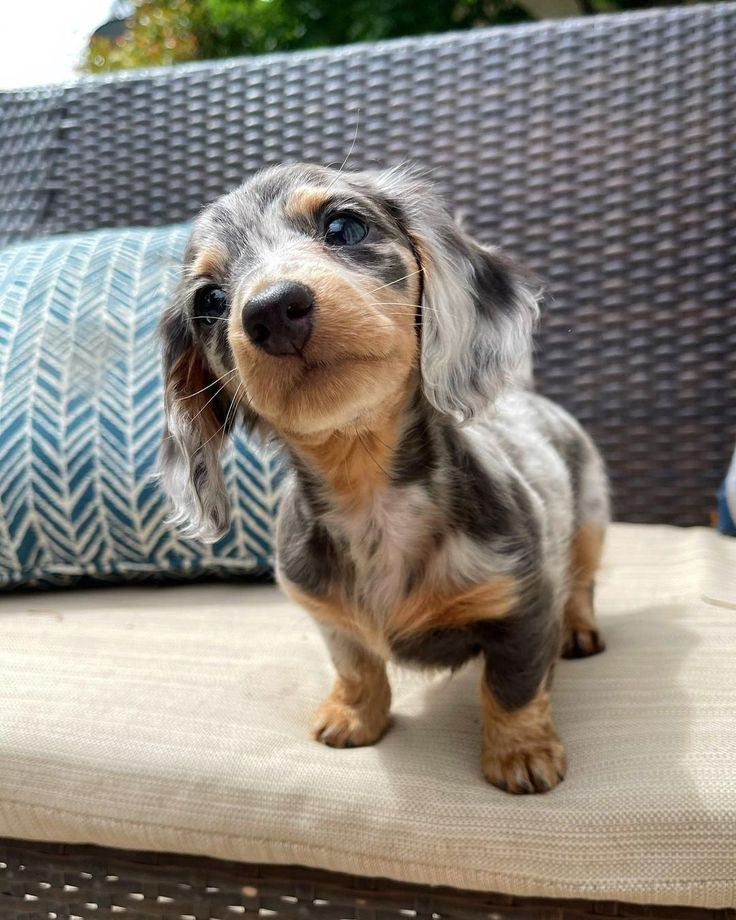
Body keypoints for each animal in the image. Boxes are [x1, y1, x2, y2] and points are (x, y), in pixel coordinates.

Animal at [160, 162, 608, 796]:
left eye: (344, 226)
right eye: (210, 300)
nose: (271, 309)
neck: (368, 492)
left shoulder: (525, 602)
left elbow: (512, 687)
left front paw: (521, 752)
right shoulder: (327, 615)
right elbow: (356, 667)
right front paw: (353, 715)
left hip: (590, 520)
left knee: (584, 584)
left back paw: (579, 631)